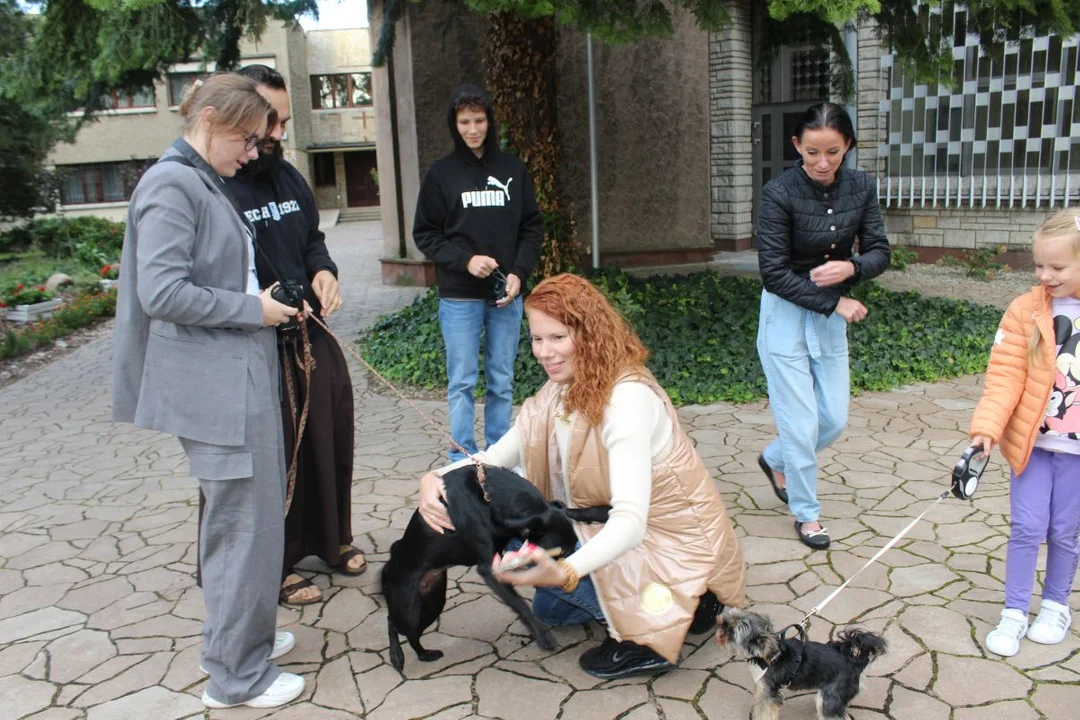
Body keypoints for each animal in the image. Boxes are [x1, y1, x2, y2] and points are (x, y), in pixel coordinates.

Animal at [384, 464, 613, 673]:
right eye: (561, 552)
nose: (579, 578)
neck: (487, 499)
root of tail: (393, 555)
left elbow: (571, 511)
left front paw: (599, 512)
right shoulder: (489, 569)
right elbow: (520, 604)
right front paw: (543, 637)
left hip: (433, 601)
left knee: (412, 635)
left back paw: (424, 654)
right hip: (409, 609)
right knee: (392, 622)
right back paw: (396, 656)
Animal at [717, 613, 885, 716]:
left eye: (732, 630)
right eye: (730, 616)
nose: (721, 621)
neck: (761, 656)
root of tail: (855, 664)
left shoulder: (769, 691)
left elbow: (765, 713)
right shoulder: (761, 689)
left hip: (830, 697)